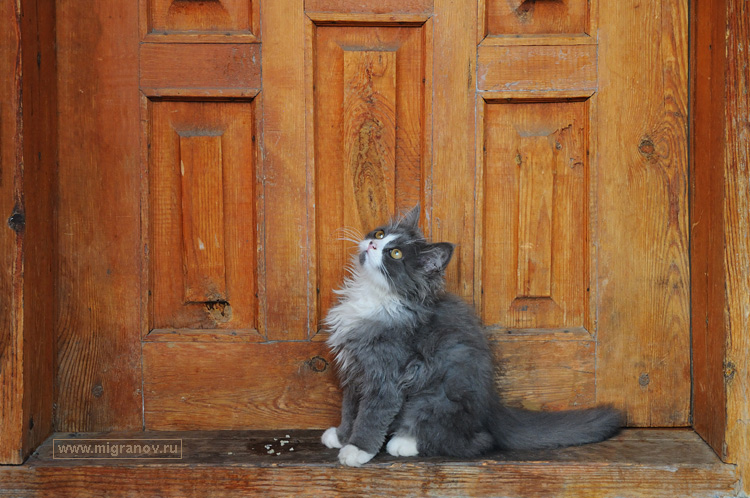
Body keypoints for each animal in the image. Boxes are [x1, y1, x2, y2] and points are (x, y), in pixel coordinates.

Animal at [324, 205, 624, 466]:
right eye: (379, 234)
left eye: (395, 254)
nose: (372, 245)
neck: (373, 295)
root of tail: (492, 407)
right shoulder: (356, 372)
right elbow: (350, 409)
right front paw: (342, 436)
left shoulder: (386, 374)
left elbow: (371, 416)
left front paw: (358, 450)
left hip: (439, 394)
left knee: (475, 441)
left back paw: (405, 442)